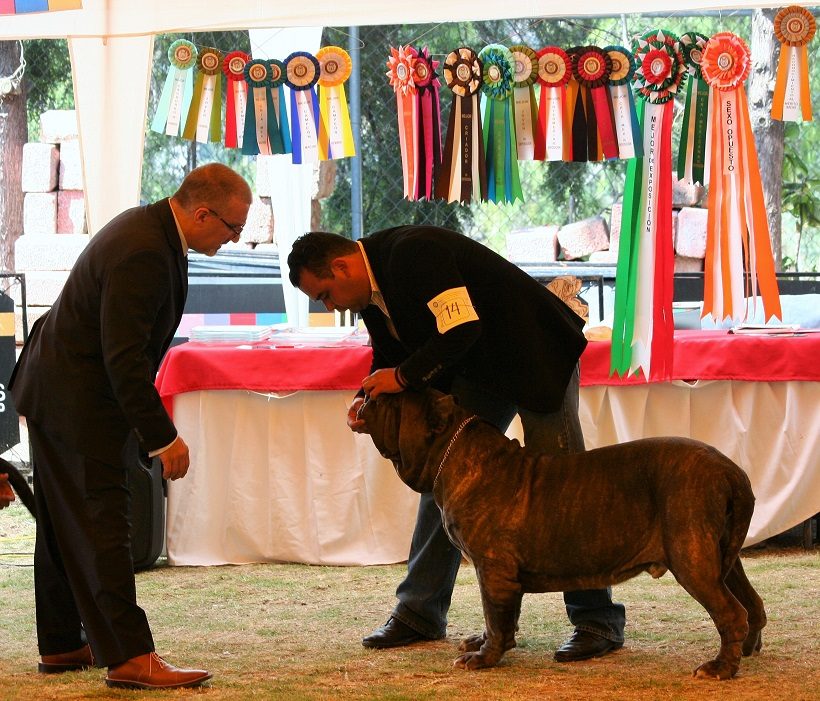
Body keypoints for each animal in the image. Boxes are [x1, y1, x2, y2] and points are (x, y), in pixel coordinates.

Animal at [362, 388, 764, 680]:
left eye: (390, 400)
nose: (365, 393)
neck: (455, 450)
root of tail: (731, 470)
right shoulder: (500, 577)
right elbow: (501, 617)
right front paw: (485, 643)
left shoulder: (492, 570)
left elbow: (495, 615)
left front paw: (484, 657)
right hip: (721, 558)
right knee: (751, 604)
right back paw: (745, 650)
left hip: (691, 557)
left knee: (731, 612)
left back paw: (720, 668)